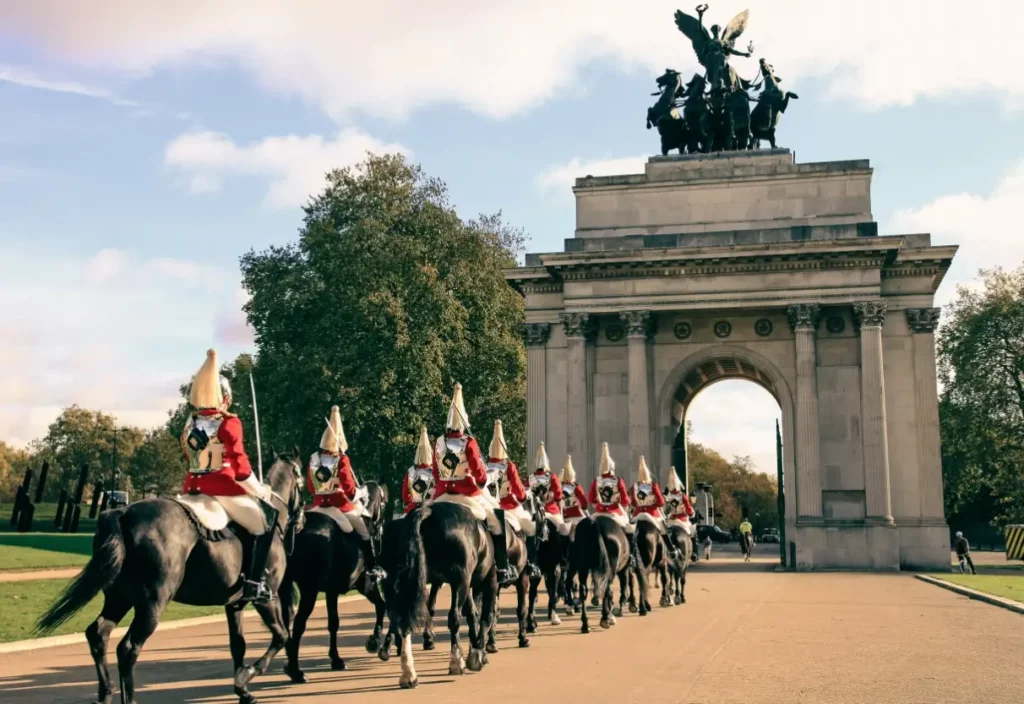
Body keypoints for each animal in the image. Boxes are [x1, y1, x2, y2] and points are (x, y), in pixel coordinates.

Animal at [37, 456, 307, 704]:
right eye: (303, 481)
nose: (302, 520)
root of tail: (122, 512)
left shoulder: (234, 604)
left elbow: (238, 645)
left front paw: (242, 690)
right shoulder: (266, 598)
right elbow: (281, 635)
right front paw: (248, 674)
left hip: (120, 598)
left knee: (98, 635)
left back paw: (105, 694)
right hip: (152, 603)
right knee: (128, 648)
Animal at [280, 480, 387, 679]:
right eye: (383, 504)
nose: (380, 529)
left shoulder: (331, 591)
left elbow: (333, 623)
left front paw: (336, 658)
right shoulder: (366, 584)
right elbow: (381, 606)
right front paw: (374, 641)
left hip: (286, 588)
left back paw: (290, 663)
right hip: (309, 590)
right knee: (299, 624)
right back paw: (295, 671)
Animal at [385, 503, 495, 691]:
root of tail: (428, 511)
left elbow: (471, 613)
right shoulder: (486, 581)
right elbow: (484, 615)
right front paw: (476, 654)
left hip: (406, 583)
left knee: (404, 620)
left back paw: (409, 675)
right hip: (460, 581)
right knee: (454, 617)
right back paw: (456, 663)